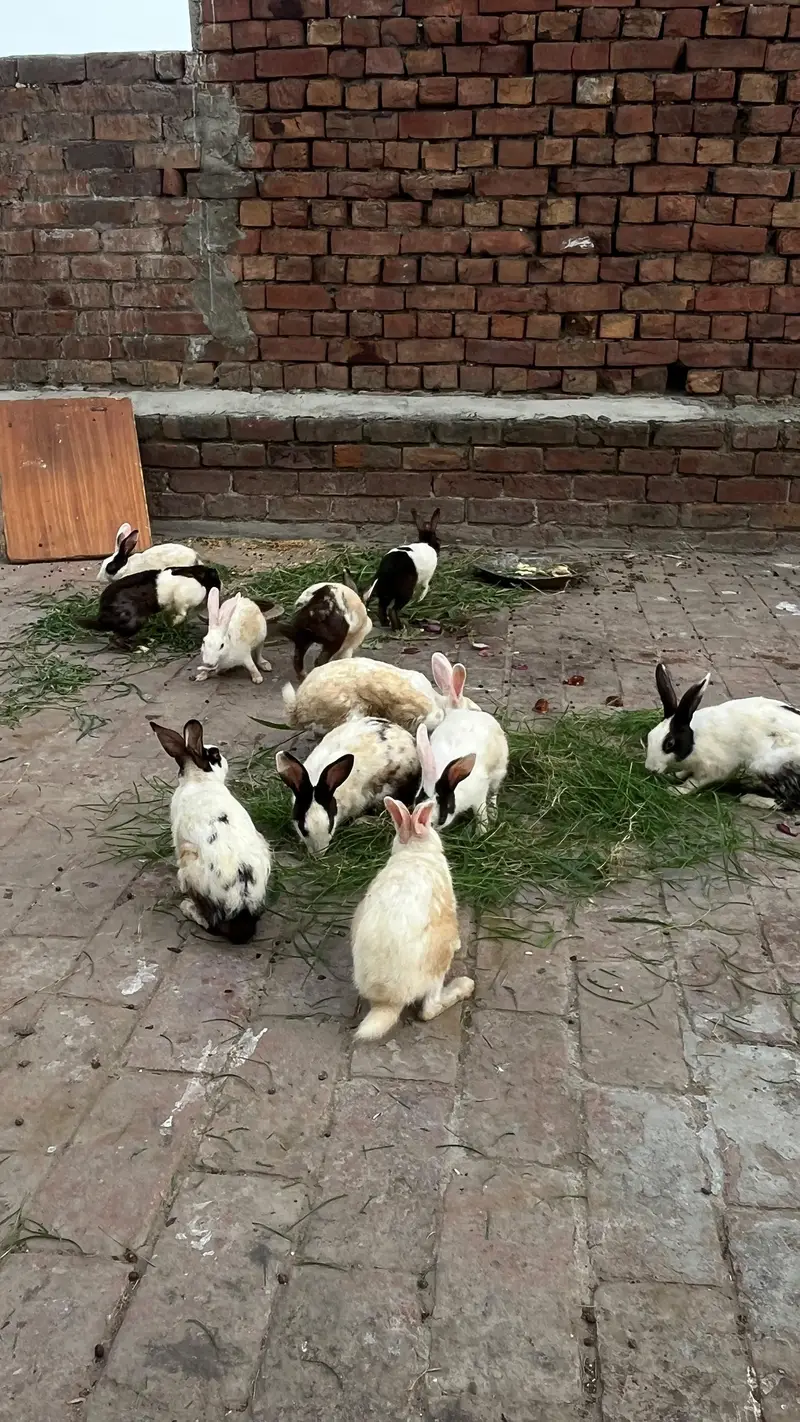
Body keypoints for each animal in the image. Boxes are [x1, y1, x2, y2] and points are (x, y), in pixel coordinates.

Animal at [81, 566, 221, 643]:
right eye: (213, 576)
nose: (220, 586)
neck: (197, 577)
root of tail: (103, 614)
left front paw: (172, 625)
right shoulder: (181, 599)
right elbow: (182, 613)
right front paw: (176, 622)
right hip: (137, 620)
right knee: (116, 639)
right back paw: (140, 648)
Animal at [150, 718, 272, 944]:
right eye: (215, 756)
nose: (224, 759)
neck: (199, 780)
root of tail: (240, 904)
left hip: (190, 865)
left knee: (211, 925)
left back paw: (187, 907)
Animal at [351, 796, 474, 1041]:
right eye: (431, 826)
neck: (415, 852)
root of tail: (387, 1002)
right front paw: (459, 944)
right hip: (438, 963)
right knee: (429, 1009)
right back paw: (464, 986)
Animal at [646, 662, 800, 808]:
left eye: (669, 743)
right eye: (650, 736)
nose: (650, 769)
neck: (695, 740)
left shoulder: (713, 767)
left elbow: (693, 782)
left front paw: (675, 790)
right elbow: (686, 772)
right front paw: (674, 775)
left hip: (767, 766)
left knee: (791, 801)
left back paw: (750, 799)